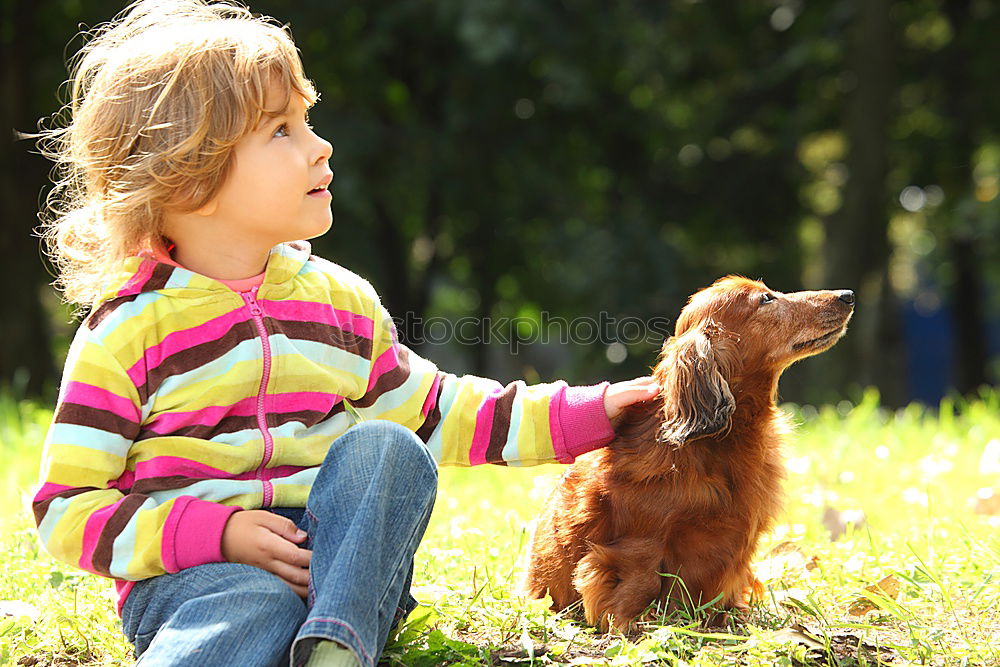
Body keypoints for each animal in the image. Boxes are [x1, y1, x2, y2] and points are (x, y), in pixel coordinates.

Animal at [524, 276, 852, 632]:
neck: (715, 441)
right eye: (766, 299)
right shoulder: (638, 545)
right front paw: (635, 624)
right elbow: (638, 582)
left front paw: (731, 618)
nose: (847, 295)